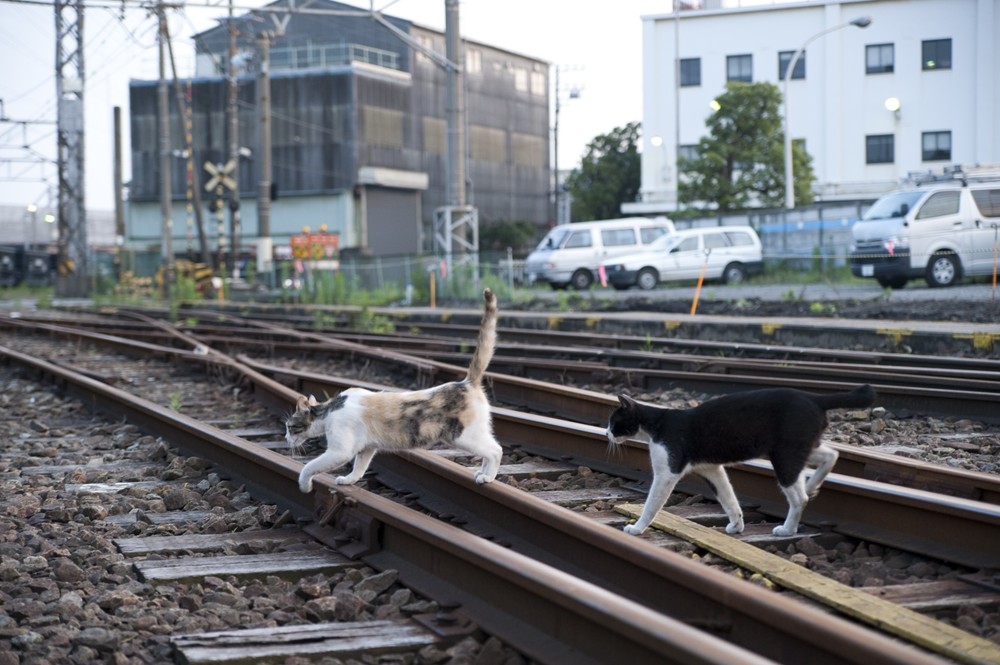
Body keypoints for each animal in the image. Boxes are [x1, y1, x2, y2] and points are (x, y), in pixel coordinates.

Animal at [290, 286, 504, 492]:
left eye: (289, 427)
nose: (285, 438)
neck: (330, 409)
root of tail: (466, 382)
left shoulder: (339, 451)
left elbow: (310, 466)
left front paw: (304, 485)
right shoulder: (366, 448)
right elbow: (359, 467)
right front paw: (349, 480)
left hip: (463, 436)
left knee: (496, 450)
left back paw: (487, 477)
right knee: (489, 451)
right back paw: (482, 473)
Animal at [600, 386, 876, 536]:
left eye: (613, 422)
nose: (606, 434)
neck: (656, 424)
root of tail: (815, 397)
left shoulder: (667, 470)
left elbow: (651, 504)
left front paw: (636, 528)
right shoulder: (712, 469)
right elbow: (728, 497)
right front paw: (736, 525)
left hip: (784, 455)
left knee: (799, 498)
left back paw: (787, 529)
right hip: (796, 448)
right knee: (831, 455)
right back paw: (812, 484)